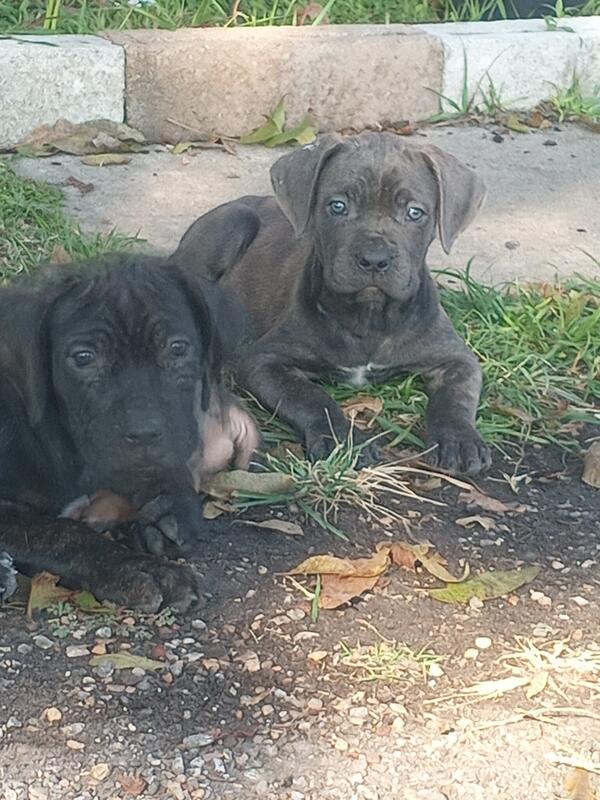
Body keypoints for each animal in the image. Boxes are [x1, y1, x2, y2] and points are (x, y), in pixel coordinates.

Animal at [0, 253, 258, 612]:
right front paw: (139, 570)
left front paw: (170, 501)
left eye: (178, 349)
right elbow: (58, 533)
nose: (145, 433)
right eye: (84, 357)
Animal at [172, 132, 491, 476]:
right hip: (233, 223)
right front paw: (342, 439)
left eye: (415, 212)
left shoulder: (456, 358)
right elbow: (312, 397)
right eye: (337, 206)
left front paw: (458, 438)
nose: (374, 259)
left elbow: (456, 398)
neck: (370, 318)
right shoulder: (264, 360)